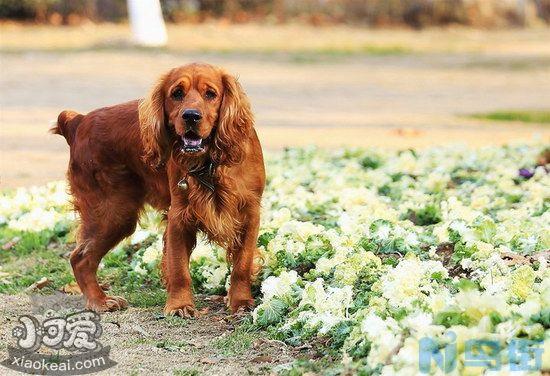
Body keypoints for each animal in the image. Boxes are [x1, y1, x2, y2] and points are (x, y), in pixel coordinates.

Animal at [52, 63, 266, 316]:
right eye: (177, 93)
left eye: (211, 94)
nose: (191, 116)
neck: (210, 164)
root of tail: (79, 122)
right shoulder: (179, 216)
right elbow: (179, 268)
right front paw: (180, 305)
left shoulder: (250, 213)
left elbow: (242, 262)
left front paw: (240, 301)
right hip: (112, 212)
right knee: (80, 258)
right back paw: (100, 301)